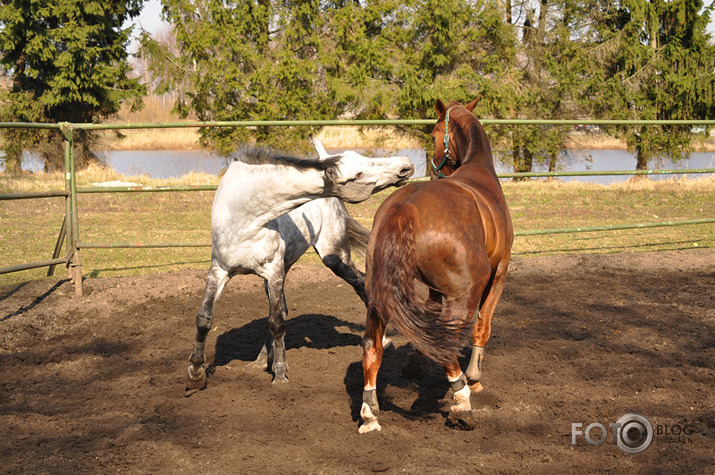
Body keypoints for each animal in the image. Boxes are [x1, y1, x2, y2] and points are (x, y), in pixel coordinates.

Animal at [187, 138, 414, 390]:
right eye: (357, 174)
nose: (405, 166)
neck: (244, 220)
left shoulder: (273, 271)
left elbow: (276, 322)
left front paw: (280, 374)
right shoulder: (219, 271)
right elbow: (204, 319)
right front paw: (196, 374)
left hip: (334, 258)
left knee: (361, 285)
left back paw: (383, 340)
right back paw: (259, 362)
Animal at [360, 98, 512, 434]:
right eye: (432, 133)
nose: (432, 171)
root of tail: (402, 208)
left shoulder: (432, 289)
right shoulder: (499, 272)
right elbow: (482, 326)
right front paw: (474, 378)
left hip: (378, 297)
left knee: (372, 347)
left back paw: (369, 413)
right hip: (464, 295)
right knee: (448, 343)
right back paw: (462, 405)